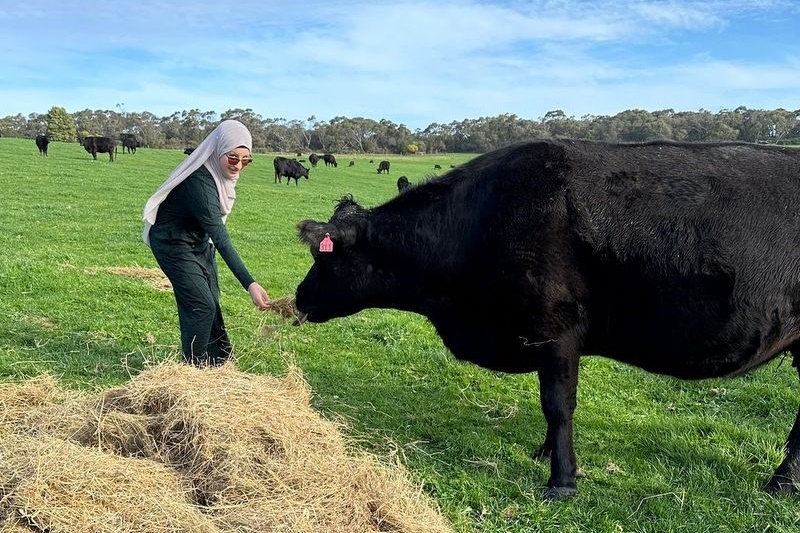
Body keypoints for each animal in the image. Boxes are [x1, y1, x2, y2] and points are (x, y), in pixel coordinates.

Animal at [294, 138, 800, 498]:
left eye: (325, 258)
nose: (298, 297)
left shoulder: (556, 332)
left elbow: (557, 405)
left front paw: (562, 480)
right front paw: (545, 454)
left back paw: (780, 483)